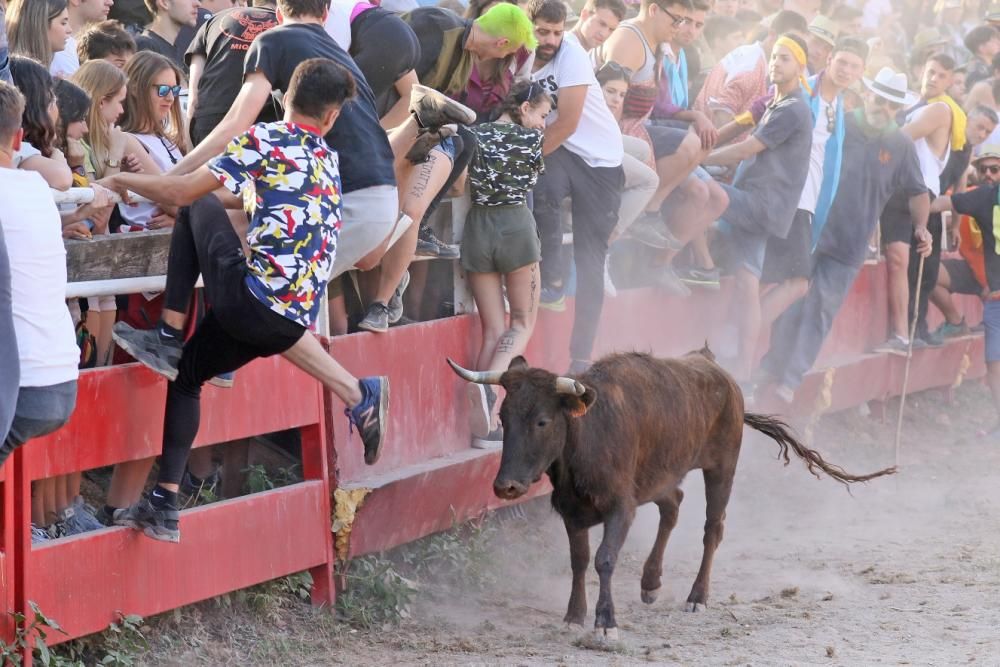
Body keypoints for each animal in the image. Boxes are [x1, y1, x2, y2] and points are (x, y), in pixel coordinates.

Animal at [450, 352, 896, 640]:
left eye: (543, 420)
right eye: (504, 417)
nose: (506, 486)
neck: (587, 439)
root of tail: (716, 369)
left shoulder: (621, 508)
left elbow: (604, 559)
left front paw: (606, 622)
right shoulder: (573, 512)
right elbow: (579, 560)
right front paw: (574, 615)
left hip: (722, 466)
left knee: (712, 528)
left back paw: (697, 597)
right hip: (660, 476)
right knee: (674, 505)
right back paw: (651, 582)